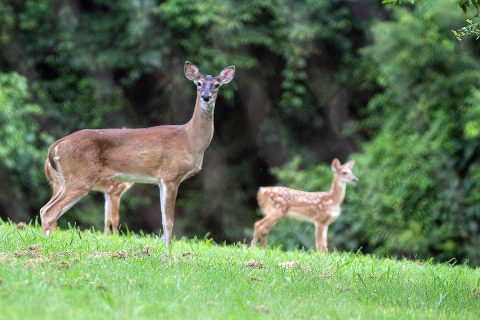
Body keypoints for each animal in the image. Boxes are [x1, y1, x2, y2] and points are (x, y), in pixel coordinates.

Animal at [40, 60, 235, 245]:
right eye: (198, 83)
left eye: (217, 85)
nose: (206, 96)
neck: (190, 139)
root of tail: (56, 145)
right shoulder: (171, 175)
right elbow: (169, 221)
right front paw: (169, 253)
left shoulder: (161, 181)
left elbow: (163, 220)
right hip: (81, 177)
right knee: (50, 212)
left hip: (66, 180)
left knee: (44, 209)